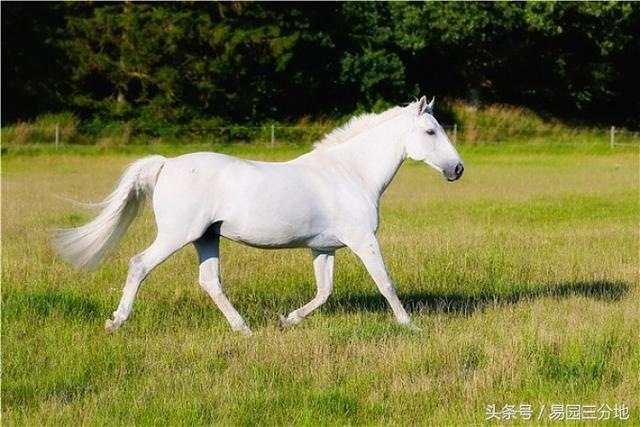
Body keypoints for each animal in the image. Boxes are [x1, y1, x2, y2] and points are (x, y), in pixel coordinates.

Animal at [53, 96, 464, 334]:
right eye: (430, 131)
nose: (458, 169)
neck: (351, 173)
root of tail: (166, 163)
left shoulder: (324, 248)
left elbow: (324, 292)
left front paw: (287, 319)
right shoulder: (364, 240)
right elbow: (386, 284)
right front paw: (410, 326)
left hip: (206, 238)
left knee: (210, 282)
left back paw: (244, 329)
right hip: (176, 235)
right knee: (139, 264)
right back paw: (116, 322)